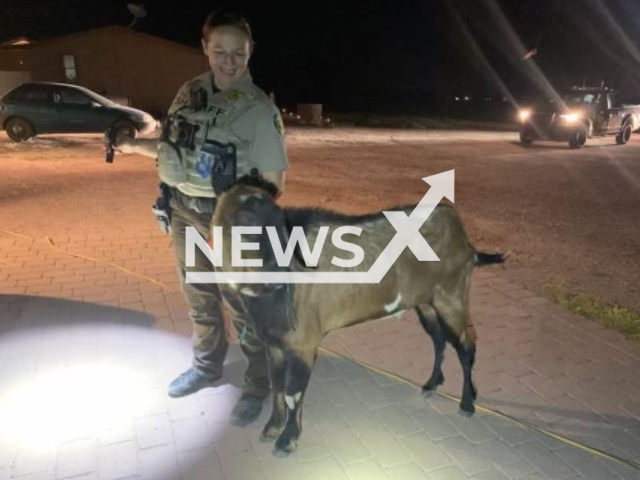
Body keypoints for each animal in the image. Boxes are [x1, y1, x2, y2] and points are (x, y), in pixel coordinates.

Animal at [212, 176, 502, 458]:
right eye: (241, 225)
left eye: (279, 222)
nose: (277, 273)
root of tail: (464, 239)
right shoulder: (273, 343)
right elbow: (277, 387)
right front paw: (273, 427)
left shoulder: (303, 343)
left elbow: (293, 392)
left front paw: (287, 440)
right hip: (426, 303)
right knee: (439, 339)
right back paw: (431, 384)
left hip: (451, 297)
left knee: (466, 344)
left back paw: (467, 402)